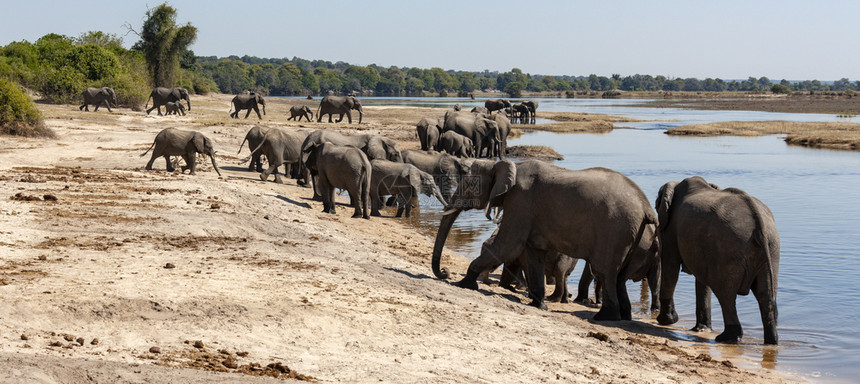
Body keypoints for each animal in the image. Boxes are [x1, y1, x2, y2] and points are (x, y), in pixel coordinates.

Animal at [434, 159, 656, 318]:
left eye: (469, 184)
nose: (445, 272)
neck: (505, 164)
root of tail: (646, 206)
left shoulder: (520, 202)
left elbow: (507, 245)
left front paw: (463, 284)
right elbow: (533, 254)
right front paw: (538, 305)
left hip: (616, 228)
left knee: (604, 271)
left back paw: (604, 318)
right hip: (633, 233)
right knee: (619, 275)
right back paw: (623, 317)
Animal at [656, 177, 784, 344]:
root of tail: (759, 224)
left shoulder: (672, 228)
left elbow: (671, 267)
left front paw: (666, 321)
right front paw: (700, 329)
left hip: (729, 250)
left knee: (725, 295)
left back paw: (726, 338)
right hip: (771, 249)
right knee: (765, 295)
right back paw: (771, 342)